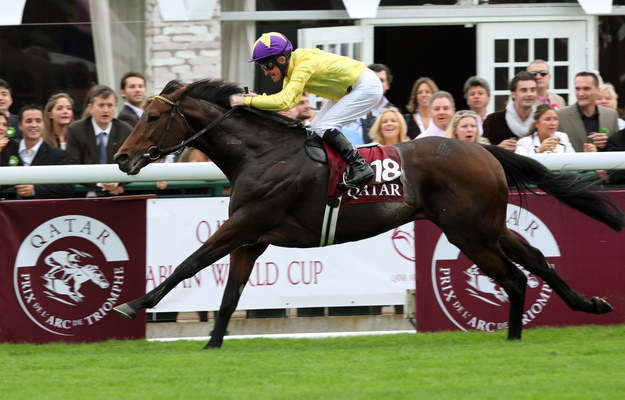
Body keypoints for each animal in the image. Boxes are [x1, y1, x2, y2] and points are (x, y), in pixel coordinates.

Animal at [113, 78, 624, 346]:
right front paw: (213, 344)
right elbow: (230, 293)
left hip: (469, 233)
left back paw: (514, 338)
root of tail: (485, 150)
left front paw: (134, 303)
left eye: (153, 117)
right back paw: (589, 304)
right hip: (485, 227)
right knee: (534, 259)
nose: (121, 158)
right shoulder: (252, 238)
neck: (259, 153)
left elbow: (191, 263)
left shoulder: (246, 222)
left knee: (516, 279)